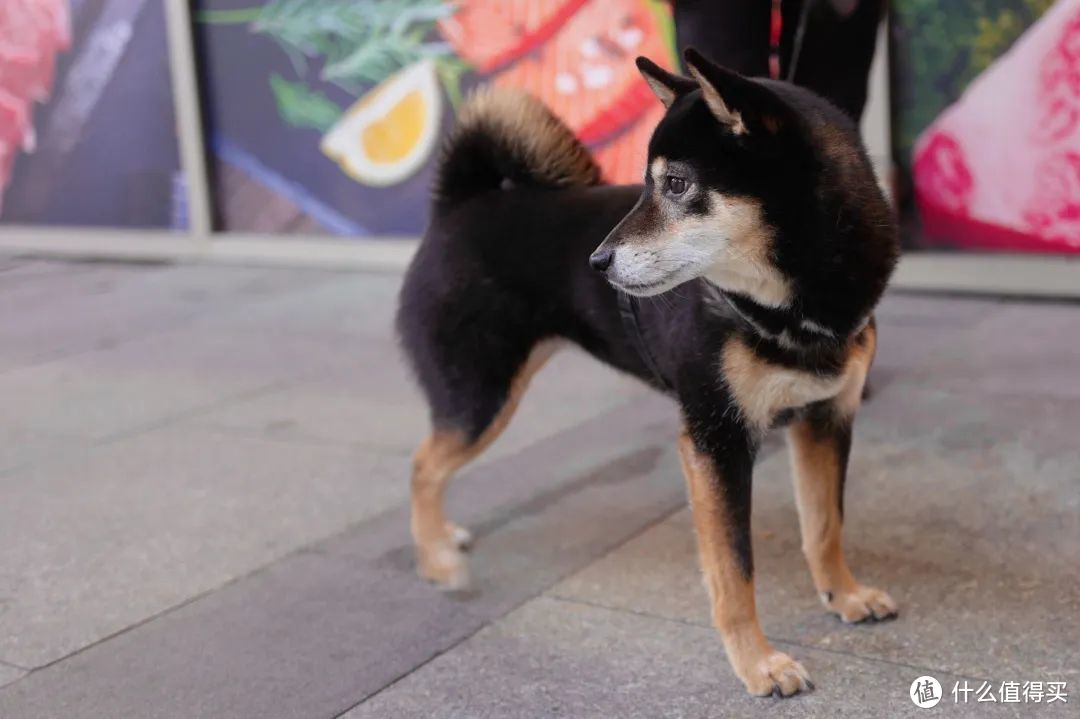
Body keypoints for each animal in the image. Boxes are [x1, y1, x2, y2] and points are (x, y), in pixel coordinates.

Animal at [397, 49, 902, 695]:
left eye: (677, 184)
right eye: (645, 183)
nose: (598, 261)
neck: (794, 307)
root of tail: (458, 206)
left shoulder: (825, 418)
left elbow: (824, 526)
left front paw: (844, 595)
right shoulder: (716, 440)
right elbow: (734, 571)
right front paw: (758, 663)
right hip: (480, 399)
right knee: (421, 466)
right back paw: (436, 557)